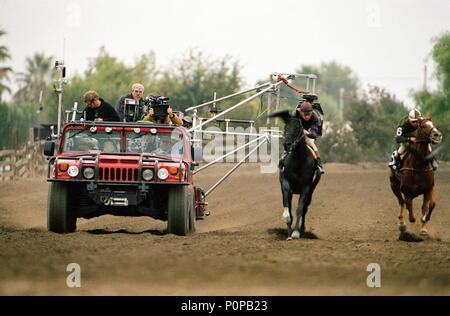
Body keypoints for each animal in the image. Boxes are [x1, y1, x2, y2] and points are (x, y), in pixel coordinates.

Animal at [268, 110, 322, 239]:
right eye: (285, 127)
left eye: (298, 128)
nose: (286, 144)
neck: (298, 161)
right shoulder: (285, 184)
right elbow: (288, 207)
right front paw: (288, 232)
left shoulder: (306, 187)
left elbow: (300, 209)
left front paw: (296, 232)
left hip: (312, 190)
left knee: (305, 208)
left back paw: (302, 229)